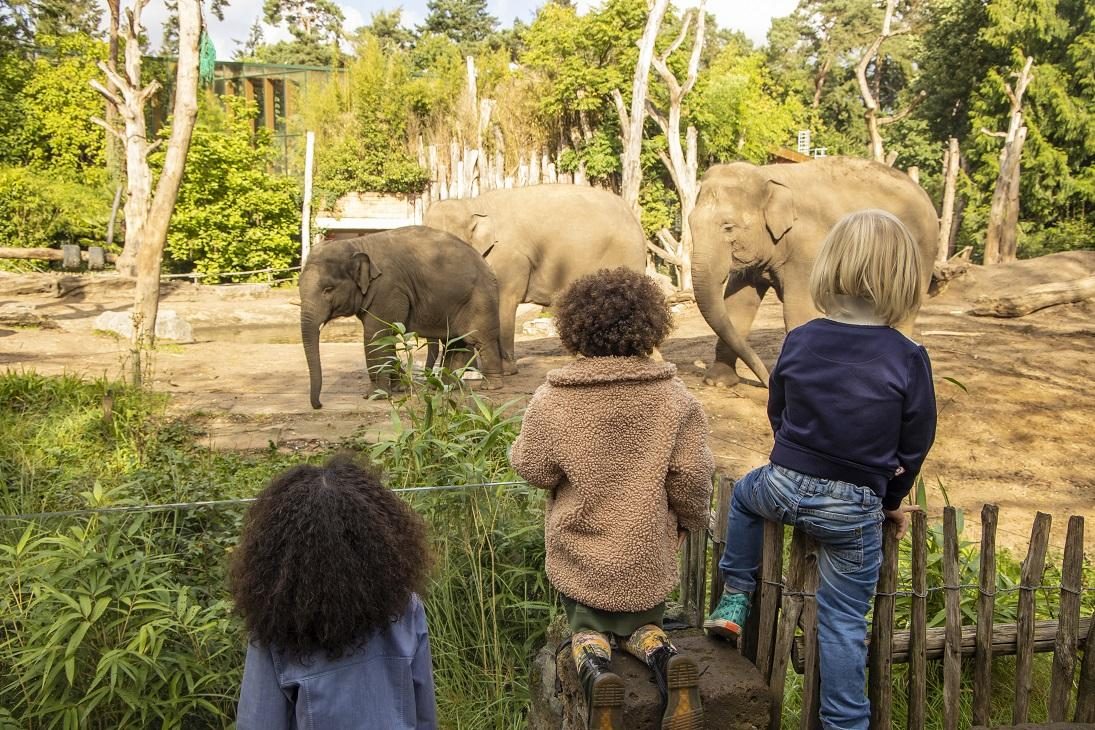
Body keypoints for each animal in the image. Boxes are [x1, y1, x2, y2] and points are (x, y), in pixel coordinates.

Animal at [300, 225, 503, 409]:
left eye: (328, 289)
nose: (319, 405)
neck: (358, 244)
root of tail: (486, 263)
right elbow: (386, 337)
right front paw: (398, 388)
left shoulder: (387, 289)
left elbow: (375, 335)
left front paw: (374, 396)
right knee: (454, 342)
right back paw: (445, 387)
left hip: (481, 299)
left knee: (481, 339)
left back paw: (490, 386)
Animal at [420, 183, 643, 372]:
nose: (429, 375)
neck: (472, 204)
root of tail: (632, 213)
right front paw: (469, 371)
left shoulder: (510, 258)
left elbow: (504, 302)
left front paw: (507, 370)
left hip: (625, 255)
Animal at [687, 155, 937, 387]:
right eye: (689, 223)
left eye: (728, 227)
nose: (768, 381)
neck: (768, 177)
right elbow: (738, 304)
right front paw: (719, 381)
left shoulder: (808, 247)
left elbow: (798, 309)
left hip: (922, 252)